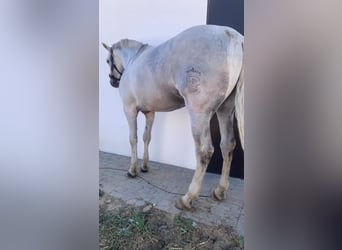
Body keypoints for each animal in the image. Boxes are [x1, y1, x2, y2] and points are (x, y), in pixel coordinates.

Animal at [101, 24, 243, 209]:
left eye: (108, 61)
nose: (113, 81)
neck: (134, 59)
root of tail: (234, 39)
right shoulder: (150, 112)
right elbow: (147, 137)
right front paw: (145, 166)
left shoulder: (129, 109)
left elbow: (133, 139)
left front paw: (133, 170)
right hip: (225, 110)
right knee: (228, 145)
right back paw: (220, 190)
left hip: (199, 114)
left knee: (204, 151)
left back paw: (188, 198)